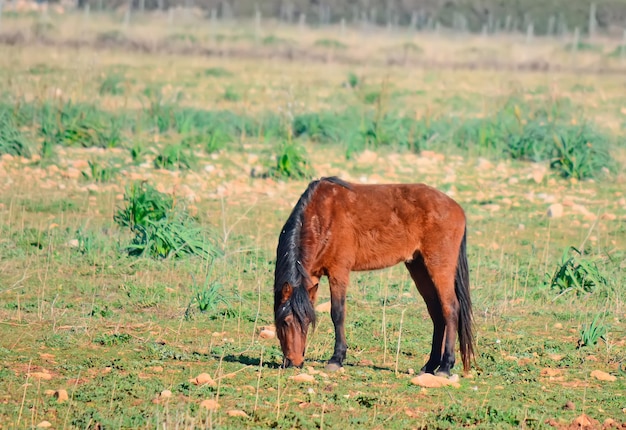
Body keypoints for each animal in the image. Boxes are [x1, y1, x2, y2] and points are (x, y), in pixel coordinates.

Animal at [272, 176, 472, 374]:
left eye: (304, 322)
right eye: (285, 322)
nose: (294, 362)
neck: (323, 216)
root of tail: (457, 208)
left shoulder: (339, 271)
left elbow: (337, 312)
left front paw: (336, 359)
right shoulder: (312, 275)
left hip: (439, 267)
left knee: (450, 309)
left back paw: (445, 366)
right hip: (418, 267)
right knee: (436, 312)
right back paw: (430, 365)